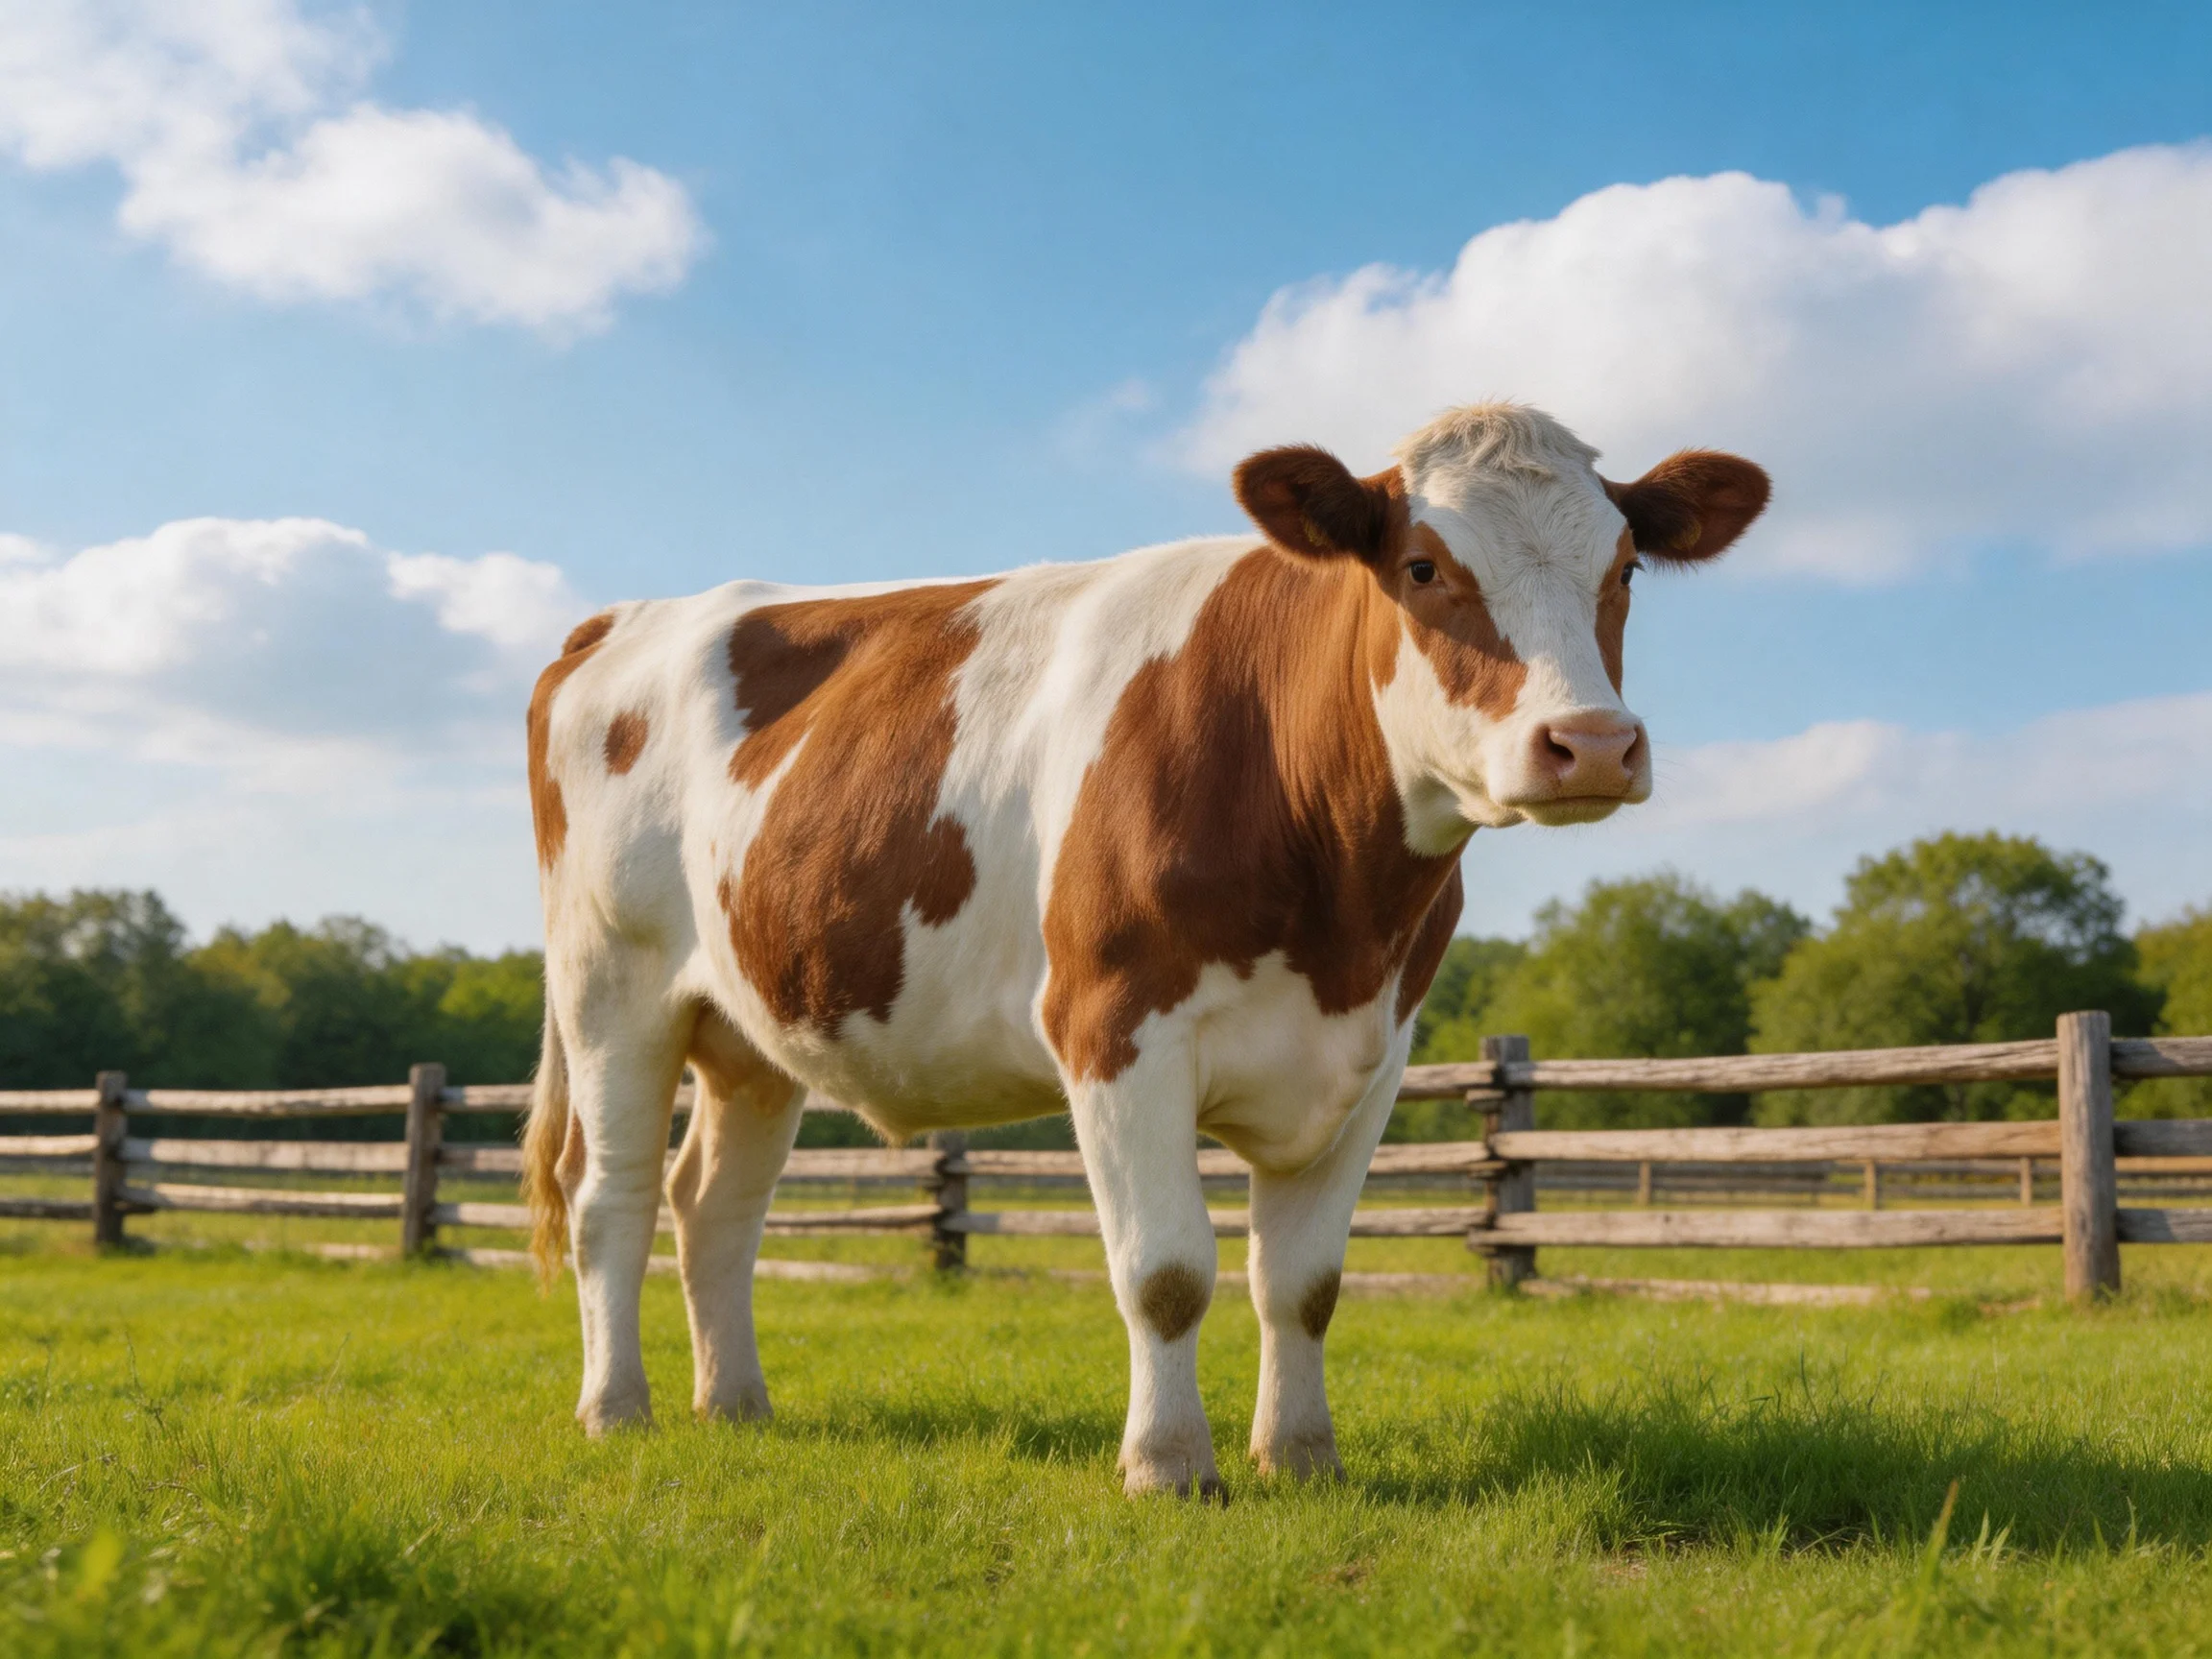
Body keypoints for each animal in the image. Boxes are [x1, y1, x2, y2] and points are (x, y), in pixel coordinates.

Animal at [521, 401, 1767, 1496]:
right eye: (1421, 567)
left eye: (1626, 570)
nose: (1591, 744)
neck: (1339, 908)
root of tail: (622, 619)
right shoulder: (1116, 1028)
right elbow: (1166, 1273)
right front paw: (1169, 1466)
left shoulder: (1375, 1057)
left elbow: (1304, 1283)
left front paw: (1301, 1459)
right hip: (611, 986)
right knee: (611, 1196)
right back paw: (614, 1408)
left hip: (754, 1024)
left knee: (714, 1205)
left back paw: (735, 1405)